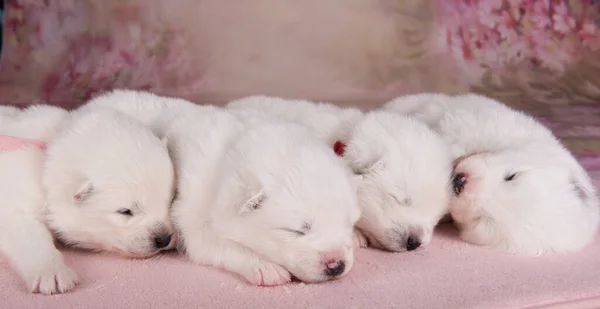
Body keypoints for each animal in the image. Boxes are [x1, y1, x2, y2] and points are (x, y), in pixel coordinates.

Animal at [0, 106, 175, 294]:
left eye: (170, 201)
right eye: (125, 211)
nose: (164, 239)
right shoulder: (16, 201)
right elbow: (29, 235)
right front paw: (52, 274)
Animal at [166, 110, 358, 284]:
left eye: (349, 224)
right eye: (296, 231)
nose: (337, 265)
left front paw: (356, 237)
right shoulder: (194, 220)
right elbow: (224, 244)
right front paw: (266, 267)